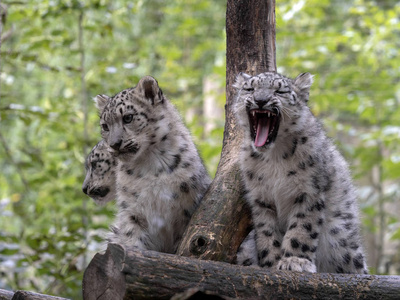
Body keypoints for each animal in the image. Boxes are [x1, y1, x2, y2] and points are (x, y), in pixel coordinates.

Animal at [95, 75, 211, 253]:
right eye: (105, 126)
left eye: (128, 117)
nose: (114, 144)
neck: (150, 164)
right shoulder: (132, 211)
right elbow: (131, 236)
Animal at [234, 71, 368, 274]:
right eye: (250, 88)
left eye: (280, 91)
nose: (260, 100)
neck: (274, 157)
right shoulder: (261, 199)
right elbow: (267, 232)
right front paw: (271, 263)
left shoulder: (309, 192)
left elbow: (302, 228)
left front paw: (295, 260)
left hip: (342, 240)